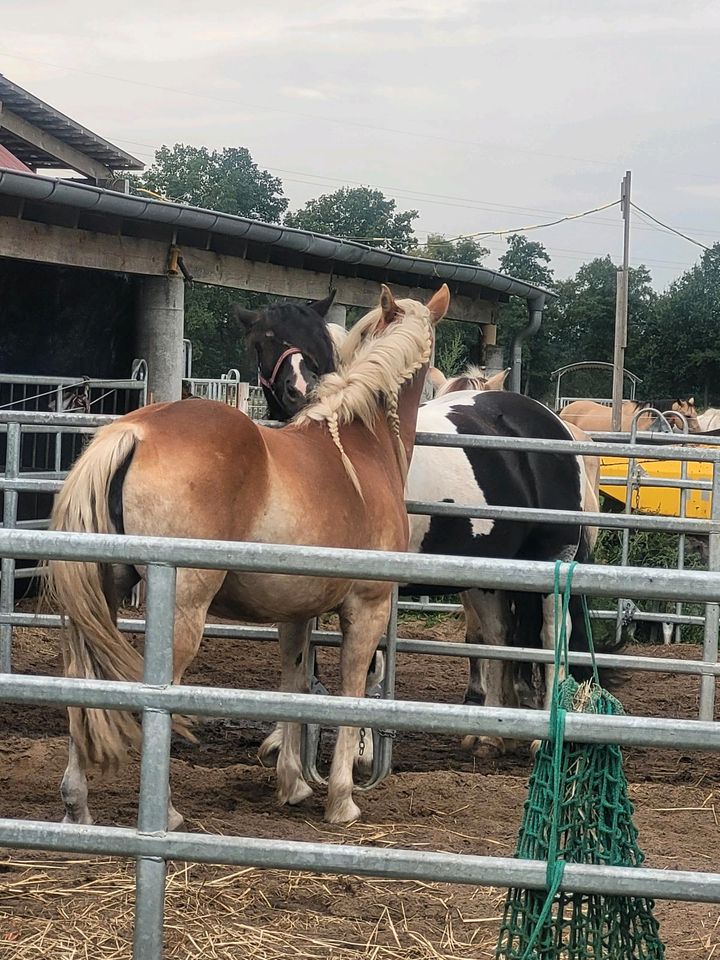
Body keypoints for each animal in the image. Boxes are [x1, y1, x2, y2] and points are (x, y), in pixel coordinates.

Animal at [47, 280, 448, 824]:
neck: (360, 443)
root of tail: (134, 432)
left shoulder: (295, 614)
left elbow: (294, 684)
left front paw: (293, 783)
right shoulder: (367, 606)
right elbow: (350, 691)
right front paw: (341, 799)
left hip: (100, 600)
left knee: (82, 682)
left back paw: (77, 805)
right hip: (182, 612)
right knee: (154, 694)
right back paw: (165, 814)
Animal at [238, 296, 600, 760]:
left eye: (319, 342)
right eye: (263, 342)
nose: (300, 390)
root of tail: (554, 425)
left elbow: (370, 662)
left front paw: (361, 749)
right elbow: (305, 655)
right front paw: (284, 738)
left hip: (552, 555)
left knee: (554, 633)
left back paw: (543, 740)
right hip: (490, 569)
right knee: (497, 634)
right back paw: (490, 735)